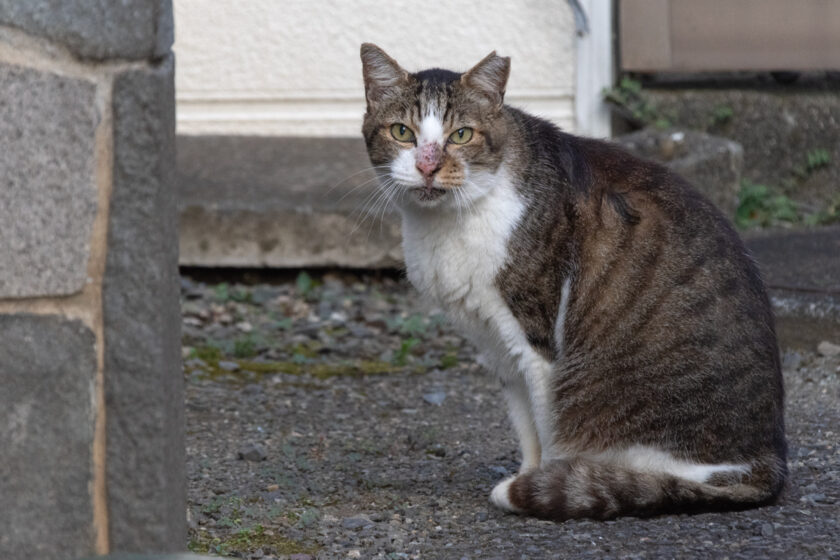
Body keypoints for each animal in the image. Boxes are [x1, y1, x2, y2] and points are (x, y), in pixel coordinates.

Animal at [358, 43, 784, 520]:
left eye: (462, 135)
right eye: (402, 132)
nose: (428, 166)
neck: (446, 223)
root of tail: (765, 467)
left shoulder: (537, 345)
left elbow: (548, 430)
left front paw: (541, 487)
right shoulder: (498, 345)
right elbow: (526, 428)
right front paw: (530, 474)